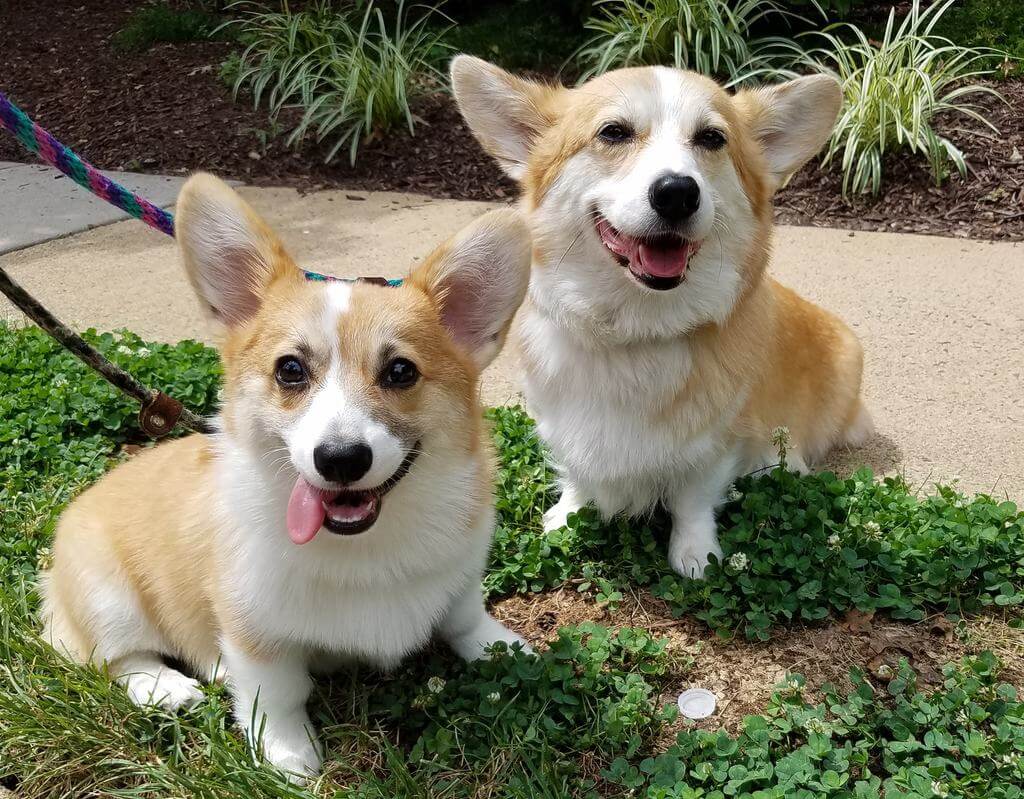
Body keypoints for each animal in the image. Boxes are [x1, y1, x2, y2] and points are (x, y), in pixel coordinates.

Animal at [39, 173, 532, 774]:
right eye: (290, 370)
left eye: (400, 371)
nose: (340, 458)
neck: (363, 548)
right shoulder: (253, 623)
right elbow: (276, 689)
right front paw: (288, 753)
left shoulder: (460, 570)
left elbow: (462, 615)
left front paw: (500, 648)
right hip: (106, 595)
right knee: (113, 656)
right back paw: (168, 687)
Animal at [454, 57, 872, 581]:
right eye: (613, 132)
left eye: (712, 138)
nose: (677, 193)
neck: (635, 330)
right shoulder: (562, 421)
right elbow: (577, 474)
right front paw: (567, 516)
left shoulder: (716, 442)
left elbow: (693, 498)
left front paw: (696, 553)